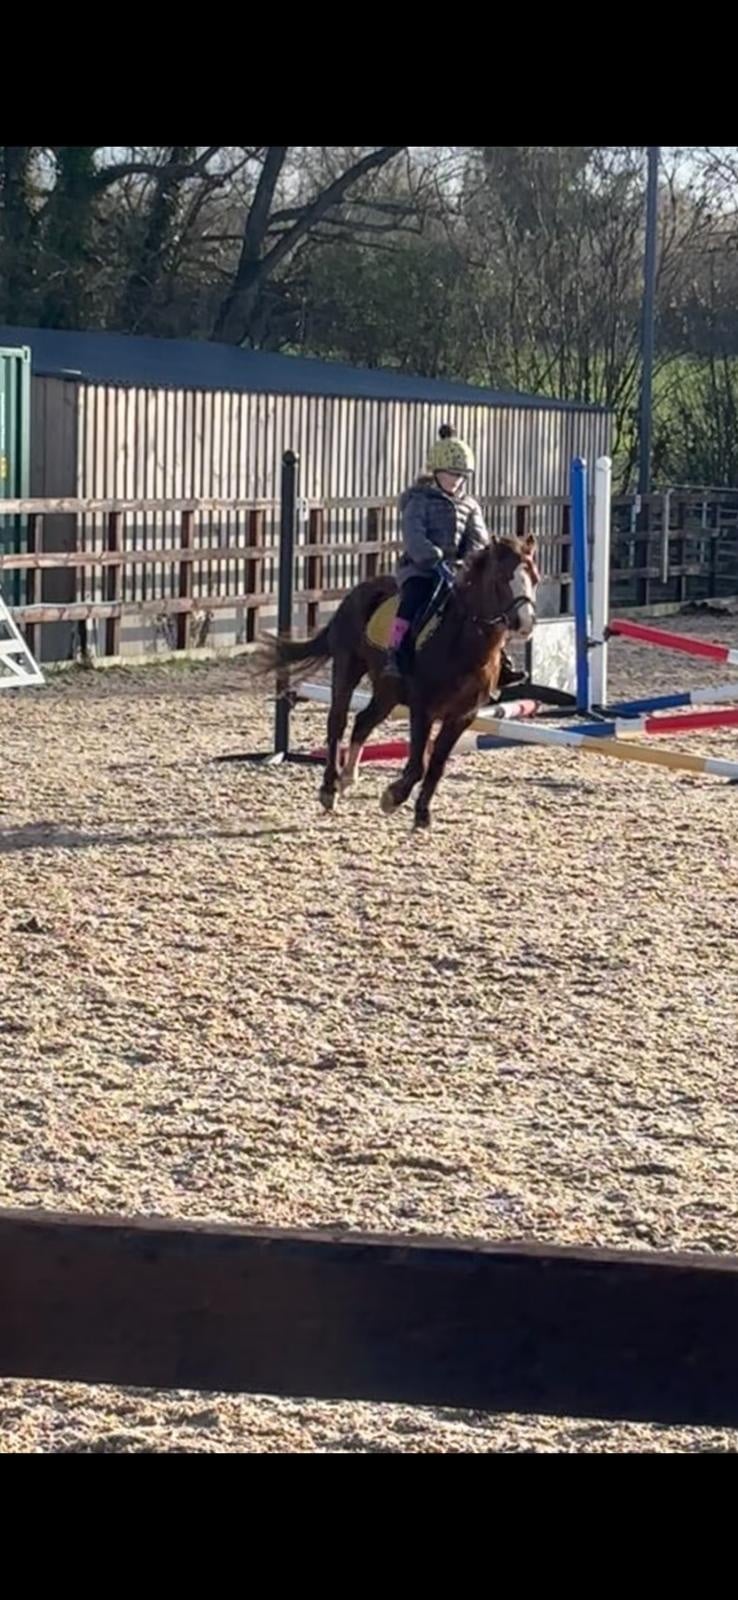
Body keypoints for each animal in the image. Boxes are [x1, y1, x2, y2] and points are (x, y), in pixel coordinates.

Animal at [259, 535, 538, 830]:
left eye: (534, 577)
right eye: (501, 578)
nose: (526, 623)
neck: (465, 644)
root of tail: (357, 592)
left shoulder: (463, 715)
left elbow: (437, 765)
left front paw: (422, 813)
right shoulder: (423, 709)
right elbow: (419, 764)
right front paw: (392, 798)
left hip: (387, 692)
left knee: (364, 721)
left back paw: (348, 778)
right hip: (347, 667)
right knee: (338, 722)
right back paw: (329, 789)